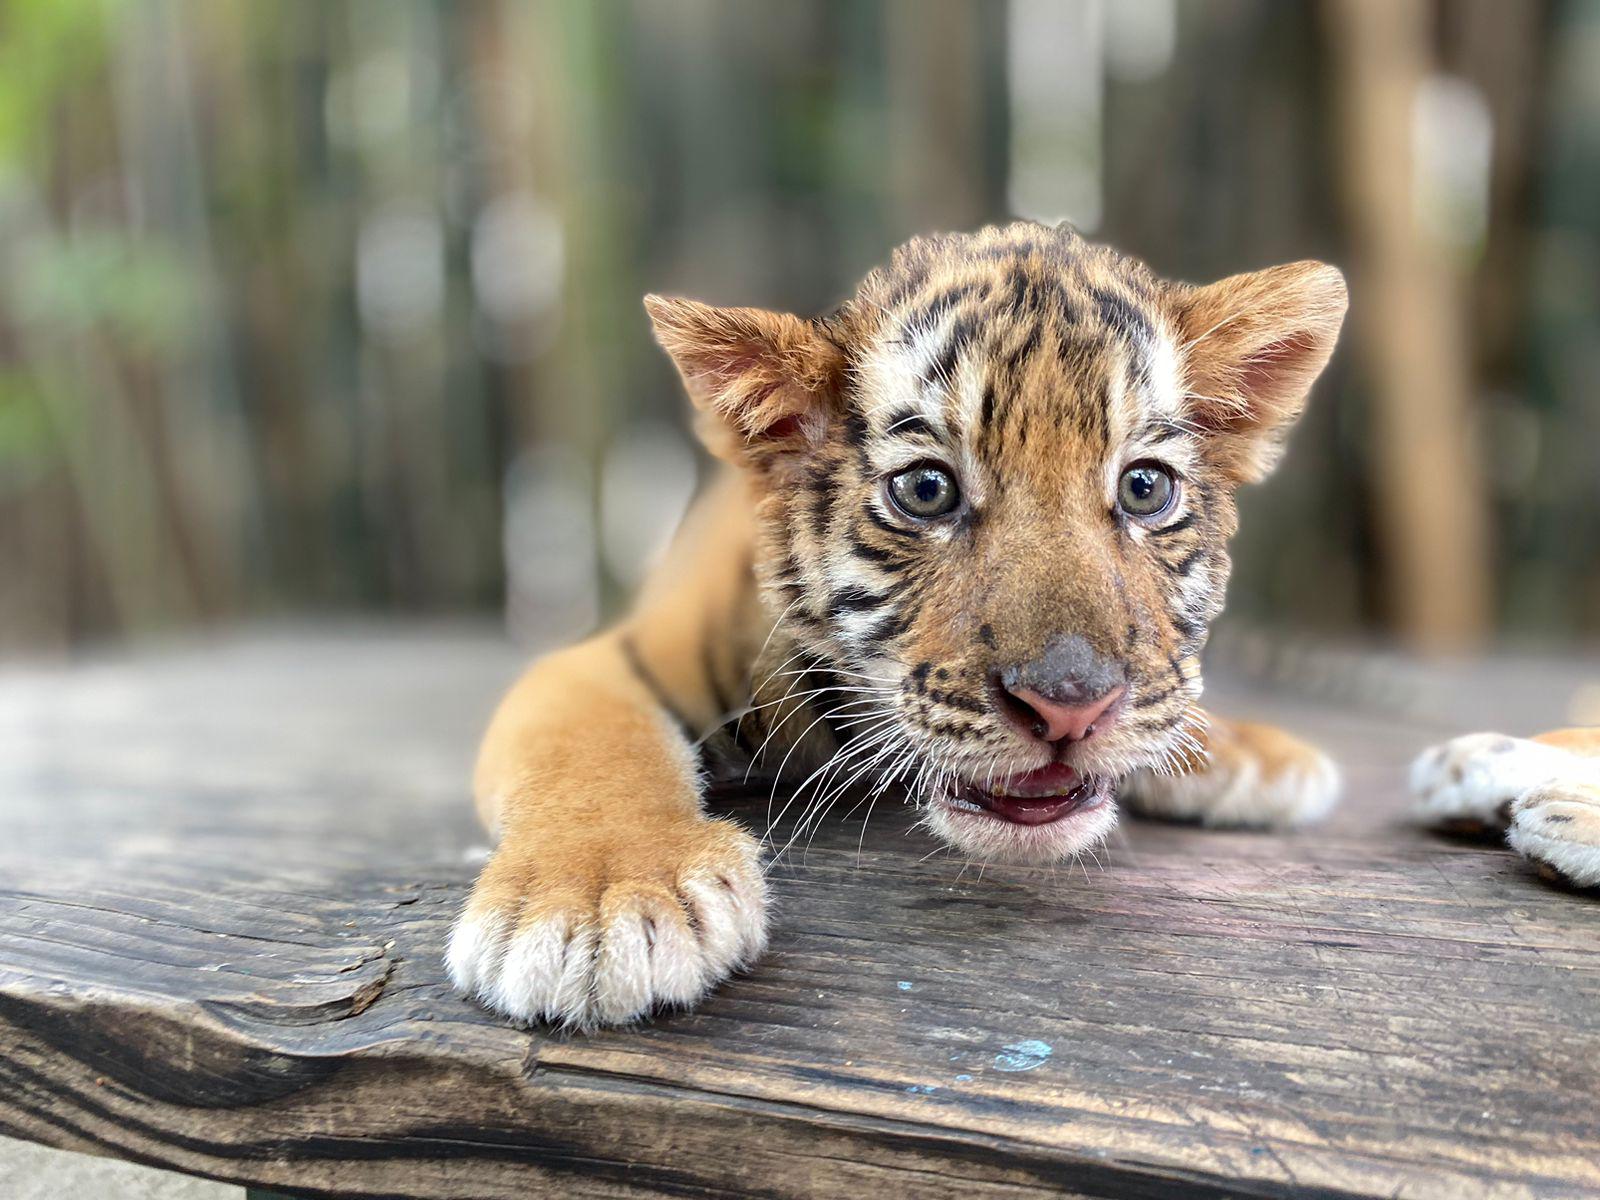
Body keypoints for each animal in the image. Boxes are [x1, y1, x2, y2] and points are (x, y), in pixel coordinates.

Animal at [447, 220, 1357, 1030]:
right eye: (927, 491)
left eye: (1145, 489)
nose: (1071, 705)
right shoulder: (600, 662)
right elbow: (590, 748)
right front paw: (599, 905)